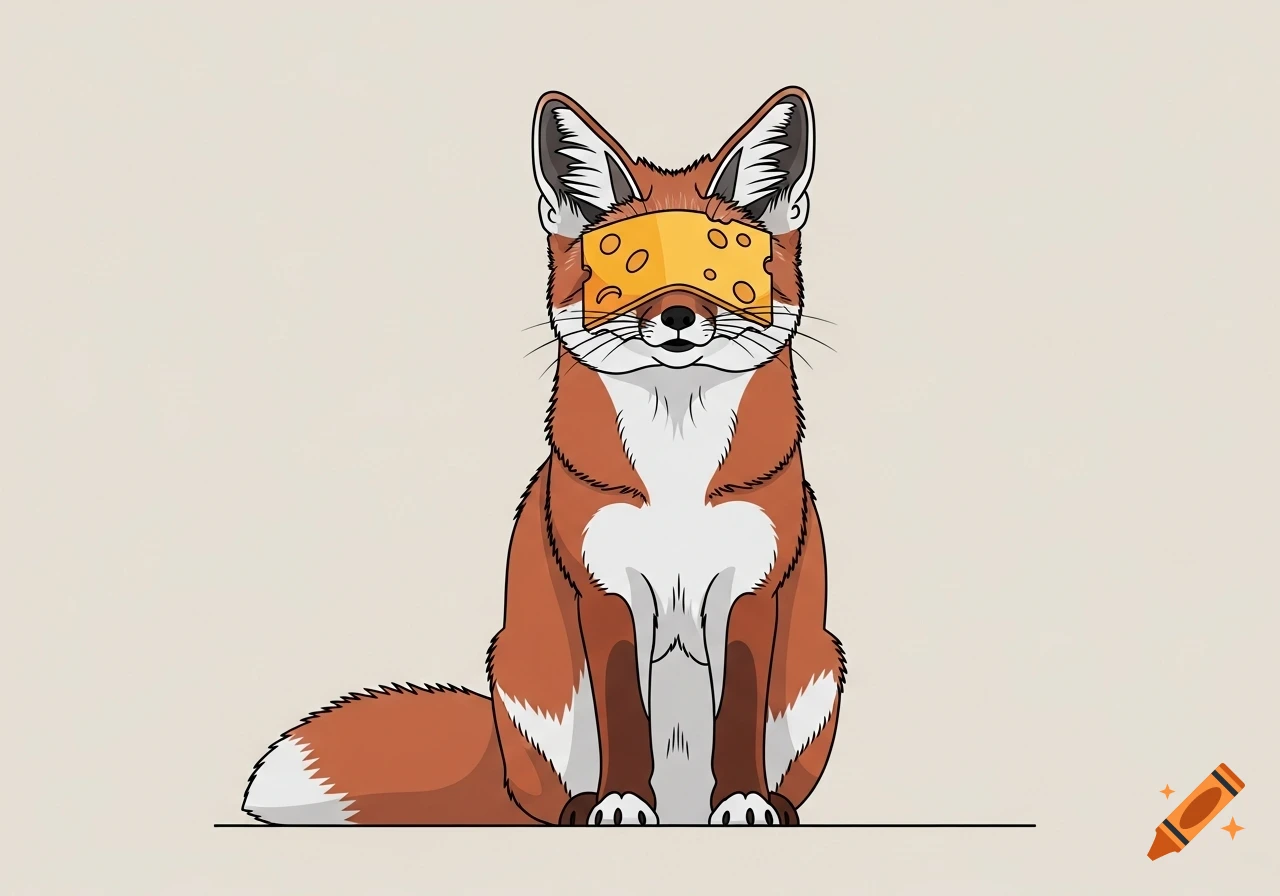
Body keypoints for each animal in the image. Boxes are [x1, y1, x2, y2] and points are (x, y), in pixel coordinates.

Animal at [241, 86, 846, 826]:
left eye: (726, 265)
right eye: (623, 264)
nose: (677, 315)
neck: (676, 468)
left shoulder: (753, 588)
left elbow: (737, 712)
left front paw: (744, 799)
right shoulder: (604, 587)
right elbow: (624, 711)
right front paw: (621, 799)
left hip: (822, 668)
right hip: (523, 684)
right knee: (546, 803)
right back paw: (585, 805)